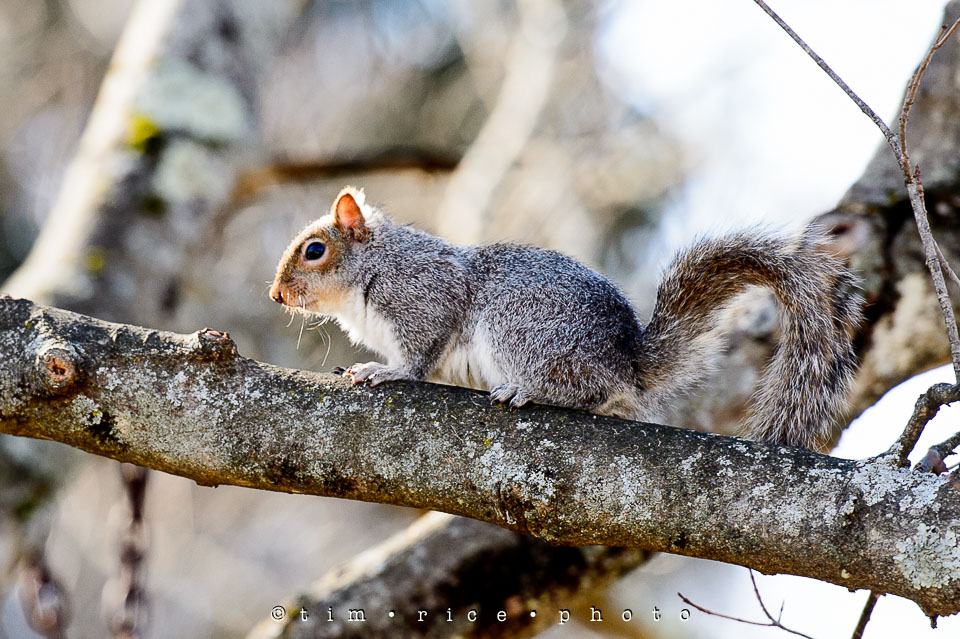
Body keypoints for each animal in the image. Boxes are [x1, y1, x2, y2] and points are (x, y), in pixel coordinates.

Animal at [270, 186, 861, 450]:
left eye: (315, 250)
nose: (275, 295)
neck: (374, 268)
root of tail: (625, 359)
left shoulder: (423, 299)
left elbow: (417, 357)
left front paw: (385, 372)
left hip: (517, 329)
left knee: (585, 389)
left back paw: (528, 390)